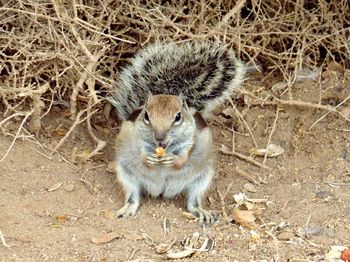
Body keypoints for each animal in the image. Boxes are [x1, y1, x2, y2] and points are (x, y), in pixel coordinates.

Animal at [110, 42, 246, 224]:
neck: (164, 148)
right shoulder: (134, 138)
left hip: (202, 179)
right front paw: (147, 158)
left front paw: (173, 159)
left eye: (178, 117)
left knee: (193, 201)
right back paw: (128, 208)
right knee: (133, 196)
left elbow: (183, 159)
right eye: (146, 116)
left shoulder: (191, 141)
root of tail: (162, 190)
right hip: (126, 174)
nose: (160, 138)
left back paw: (201, 211)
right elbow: (141, 154)